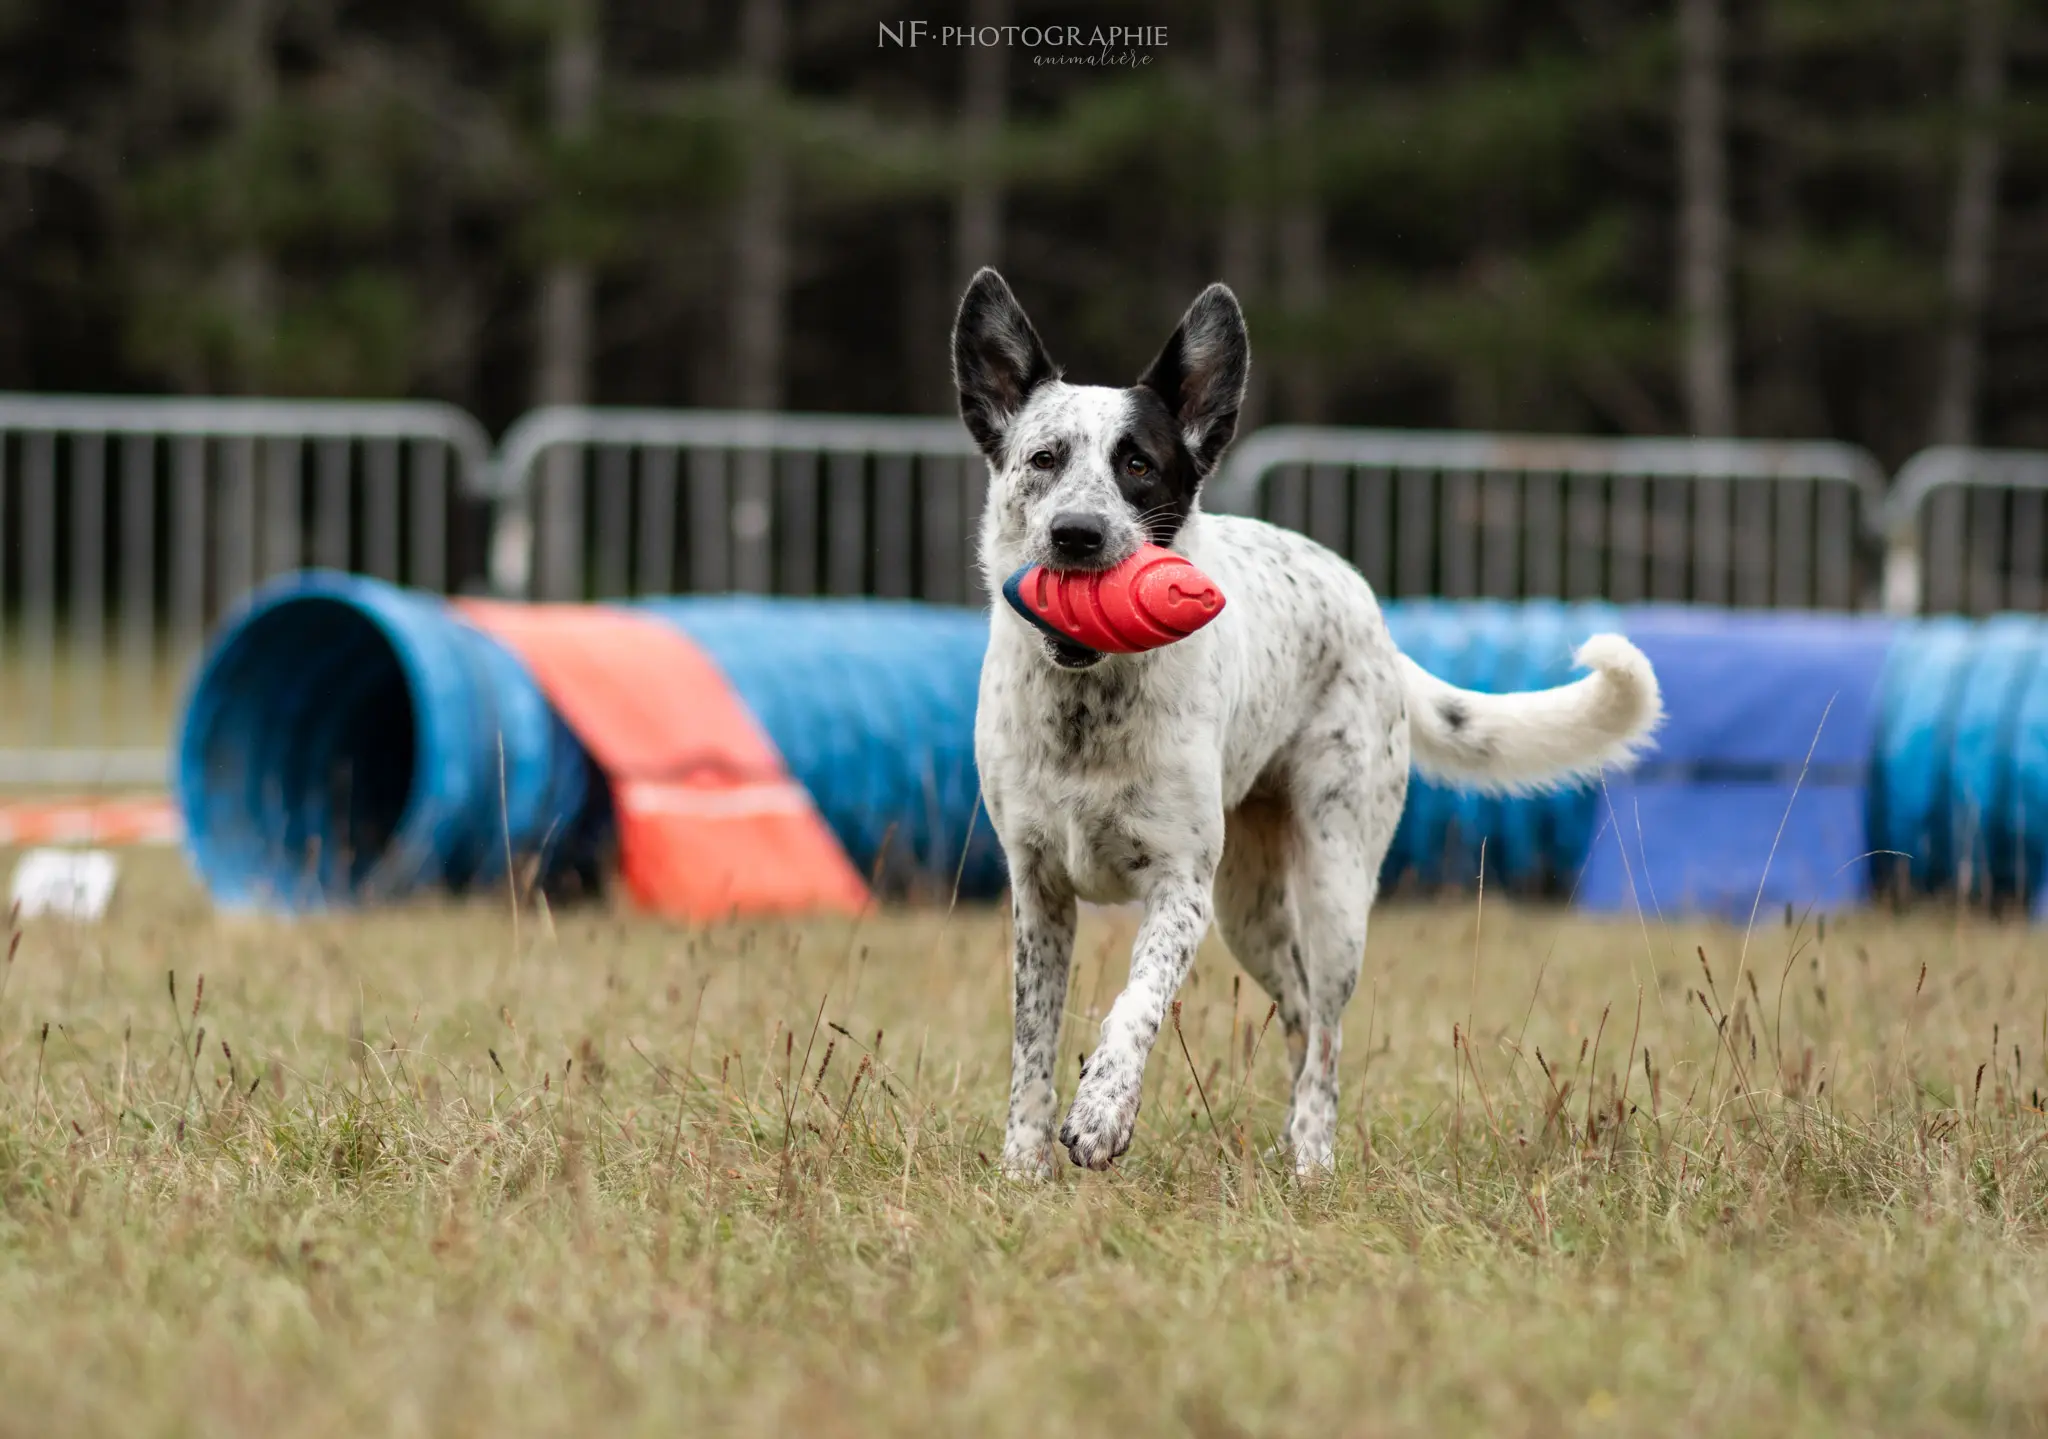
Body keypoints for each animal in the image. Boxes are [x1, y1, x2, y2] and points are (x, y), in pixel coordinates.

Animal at [958, 270, 1662, 1179]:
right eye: (1044, 458)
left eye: (1139, 465)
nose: (1076, 534)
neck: (1090, 702)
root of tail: (1370, 610)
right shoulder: (1037, 891)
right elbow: (1032, 1043)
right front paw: (1022, 1165)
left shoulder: (1179, 886)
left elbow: (1136, 1002)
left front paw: (1104, 1111)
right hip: (1249, 909)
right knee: (1294, 1009)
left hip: (1328, 887)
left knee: (1325, 1034)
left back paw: (1312, 1162)